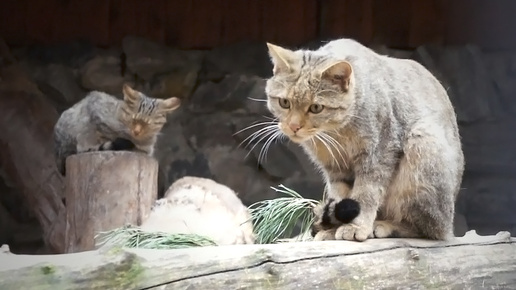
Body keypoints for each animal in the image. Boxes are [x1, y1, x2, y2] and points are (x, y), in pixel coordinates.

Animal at [264, 39, 466, 242]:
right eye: (284, 103)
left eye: (316, 108)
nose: (293, 126)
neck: (336, 132)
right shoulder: (335, 168)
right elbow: (340, 196)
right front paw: (333, 228)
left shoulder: (379, 154)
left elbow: (366, 193)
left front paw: (356, 226)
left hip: (422, 145)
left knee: (430, 230)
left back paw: (386, 225)